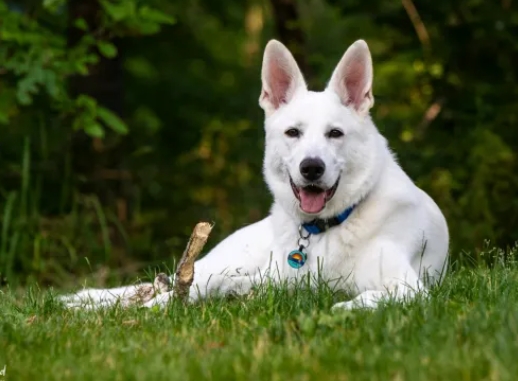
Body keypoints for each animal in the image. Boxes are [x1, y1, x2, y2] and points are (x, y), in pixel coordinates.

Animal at [62, 40, 450, 310]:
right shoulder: (281, 278)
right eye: (293, 133)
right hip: (227, 260)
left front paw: (341, 308)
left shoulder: (410, 288)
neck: (326, 226)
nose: (311, 168)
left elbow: (362, 298)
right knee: (174, 285)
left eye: (335, 134)